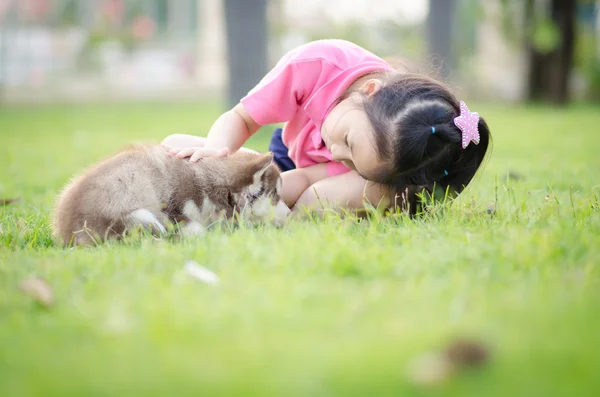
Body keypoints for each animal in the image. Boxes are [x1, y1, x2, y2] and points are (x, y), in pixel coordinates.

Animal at [54, 144, 290, 246]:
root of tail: (65, 230)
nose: (289, 214)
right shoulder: (174, 209)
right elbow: (195, 228)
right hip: (138, 215)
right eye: (276, 195)